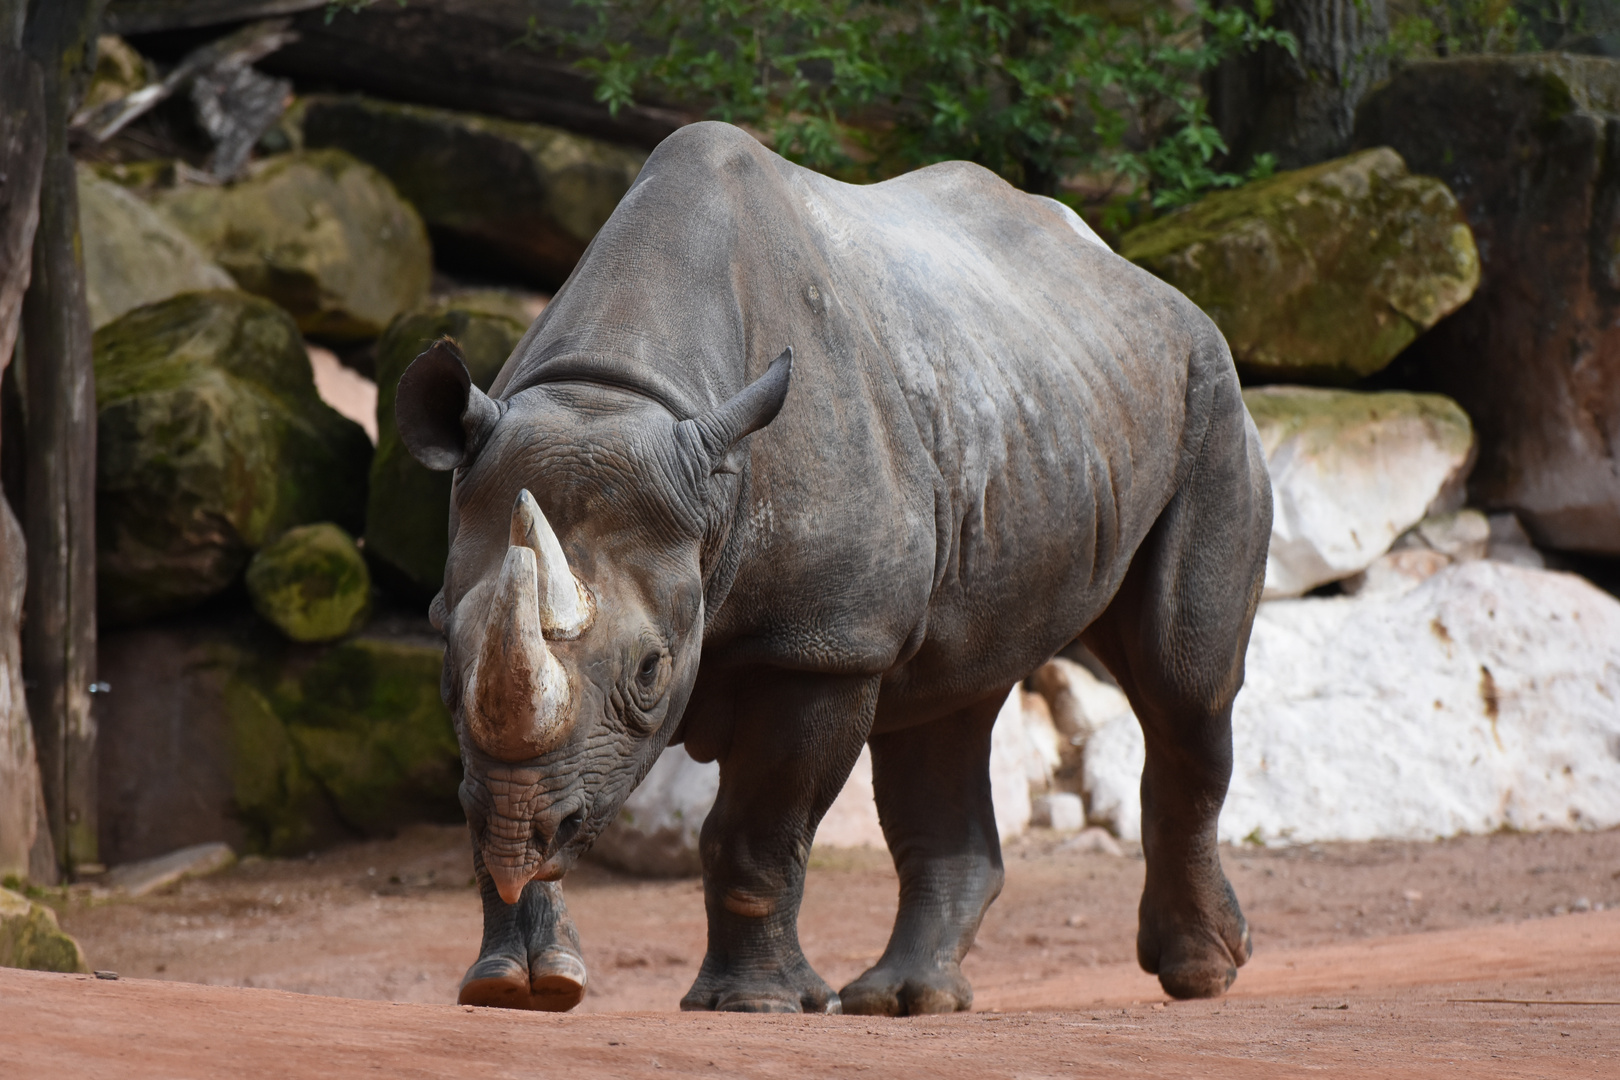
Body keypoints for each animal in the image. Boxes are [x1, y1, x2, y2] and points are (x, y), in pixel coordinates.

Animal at [398, 122, 1270, 1016]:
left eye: (651, 672)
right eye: (446, 654)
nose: (528, 830)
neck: (612, 393)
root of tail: (1135, 275)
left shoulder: (825, 643)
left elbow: (757, 829)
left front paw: (754, 1005)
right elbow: (497, 788)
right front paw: (517, 986)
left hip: (1209, 395)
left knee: (1183, 683)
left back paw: (1200, 973)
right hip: (1021, 400)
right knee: (950, 700)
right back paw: (907, 1000)